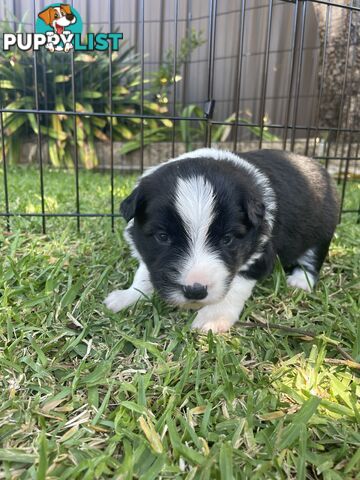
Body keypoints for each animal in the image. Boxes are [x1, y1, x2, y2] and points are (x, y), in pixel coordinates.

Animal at [103, 148, 338, 332]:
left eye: (227, 239)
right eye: (163, 237)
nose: (195, 291)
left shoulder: (260, 252)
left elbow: (236, 285)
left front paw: (213, 317)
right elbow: (145, 272)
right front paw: (128, 296)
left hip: (321, 230)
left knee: (312, 258)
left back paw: (300, 281)